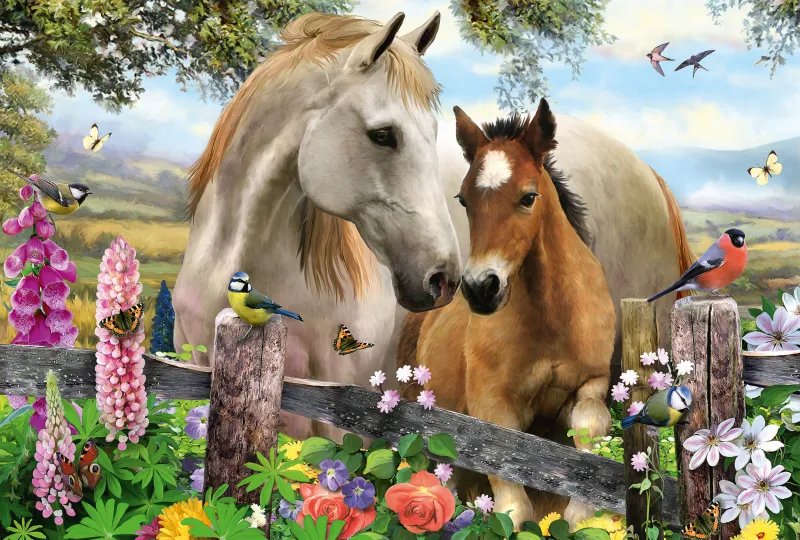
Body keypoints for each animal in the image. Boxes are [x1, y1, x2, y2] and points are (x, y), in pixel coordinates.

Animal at [397, 99, 618, 529]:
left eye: (528, 197)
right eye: (464, 200)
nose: (480, 288)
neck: (552, 321)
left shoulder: (593, 381)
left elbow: (590, 428)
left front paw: (581, 517)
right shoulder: (491, 402)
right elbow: (513, 505)